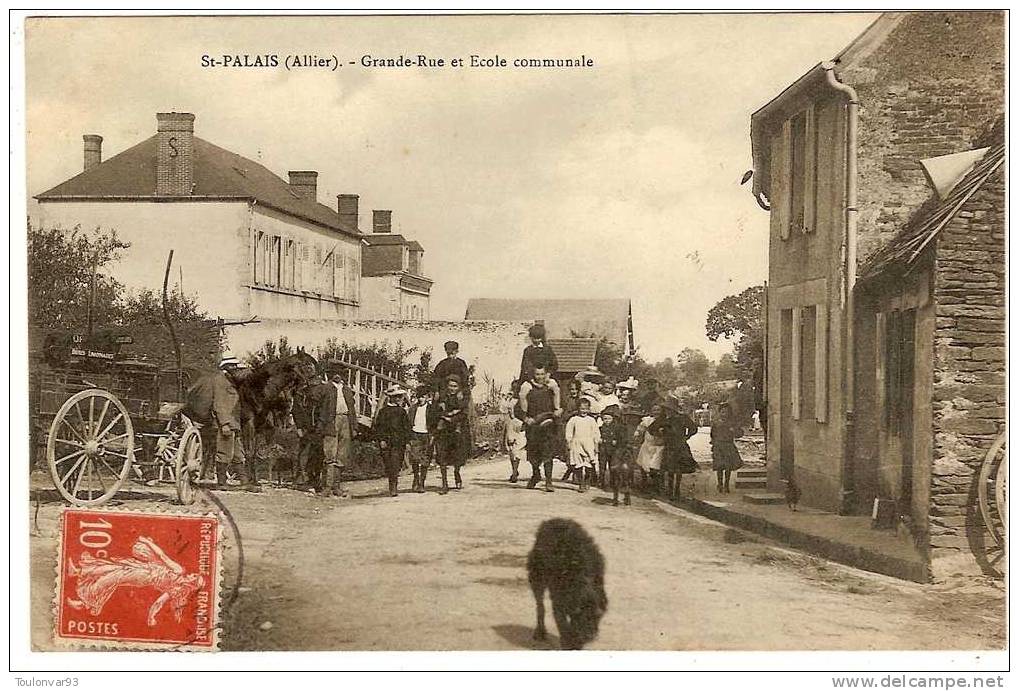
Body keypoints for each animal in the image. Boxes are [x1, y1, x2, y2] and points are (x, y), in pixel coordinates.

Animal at [525, 519, 603, 648]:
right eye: (579, 612)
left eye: (597, 615)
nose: (589, 636)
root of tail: (548, 522)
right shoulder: (559, 600)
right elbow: (562, 623)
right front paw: (568, 642)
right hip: (536, 578)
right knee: (540, 606)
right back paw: (540, 632)